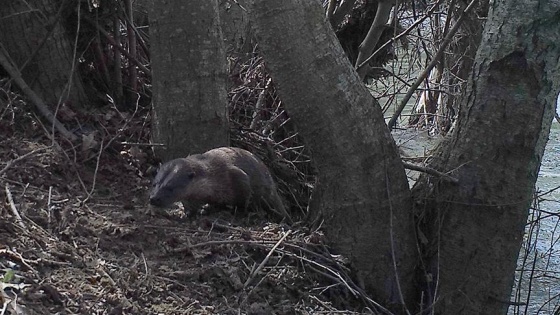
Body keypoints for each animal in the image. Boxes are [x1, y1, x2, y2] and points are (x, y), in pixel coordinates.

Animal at [149, 147, 288, 221]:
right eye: (155, 184)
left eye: (170, 187)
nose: (154, 198)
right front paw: (188, 213)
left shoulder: (238, 177)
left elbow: (243, 200)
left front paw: (239, 213)